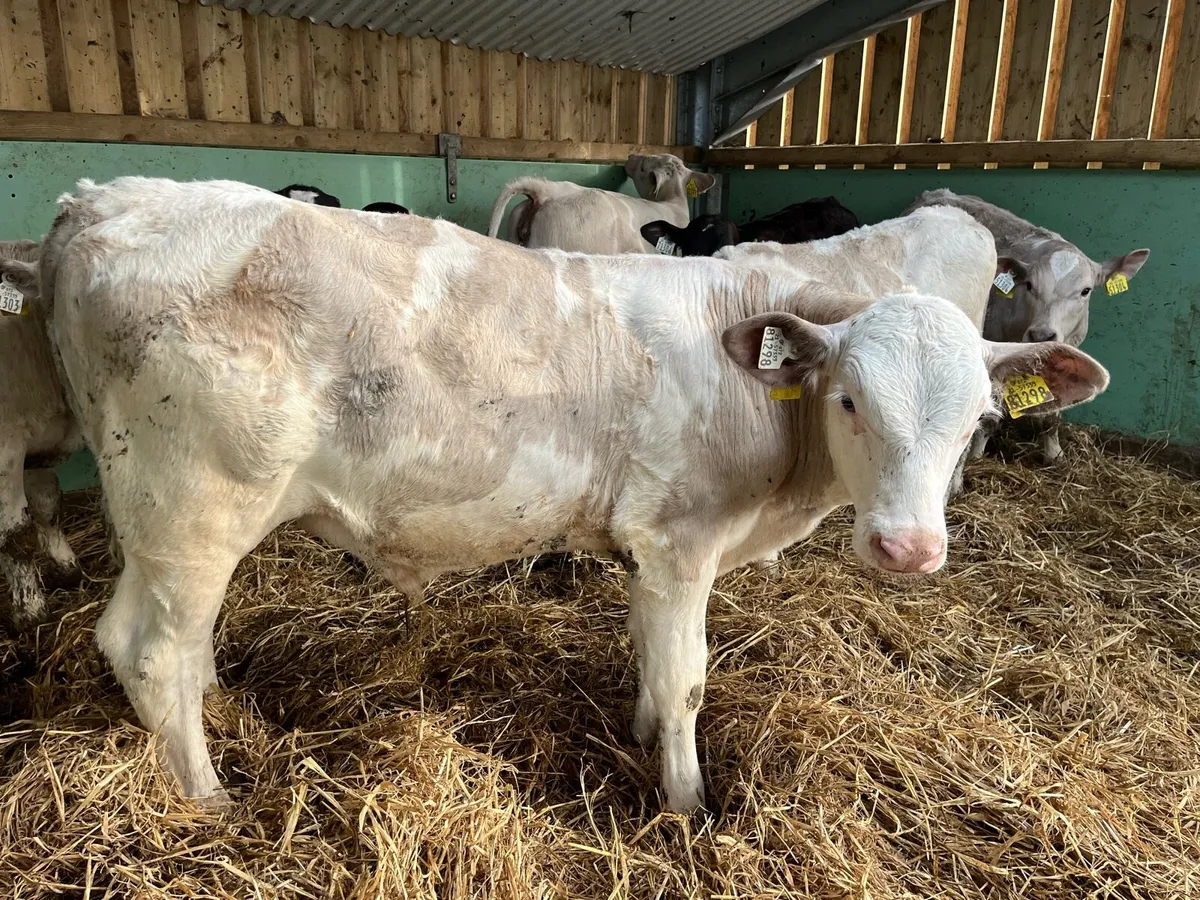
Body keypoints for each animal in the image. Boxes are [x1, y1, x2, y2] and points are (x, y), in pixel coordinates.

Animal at [902, 189, 1149, 461]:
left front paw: (1055, 454)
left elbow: (1052, 414)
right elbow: (990, 416)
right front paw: (977, 454)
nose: (1041, 334)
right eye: (1030, 285)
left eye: (1085, 291)